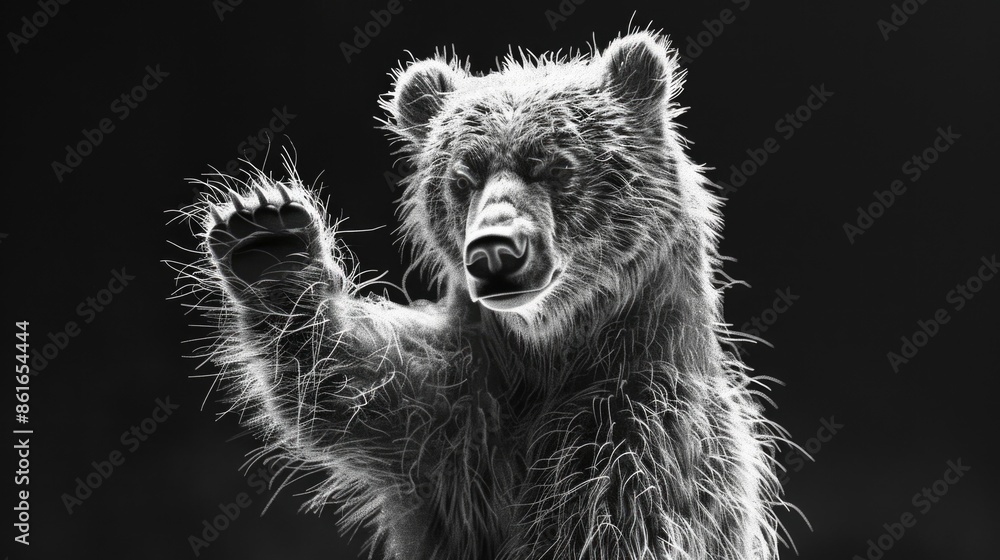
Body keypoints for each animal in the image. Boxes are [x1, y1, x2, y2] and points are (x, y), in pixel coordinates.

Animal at [179, 31, 789, 560]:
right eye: (463, 177)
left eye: (554, 165)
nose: (495, 250)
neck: (549, 354)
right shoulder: (450, 418)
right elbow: (341, 383)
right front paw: (266, 237)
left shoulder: (636, 437)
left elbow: (607, 523)